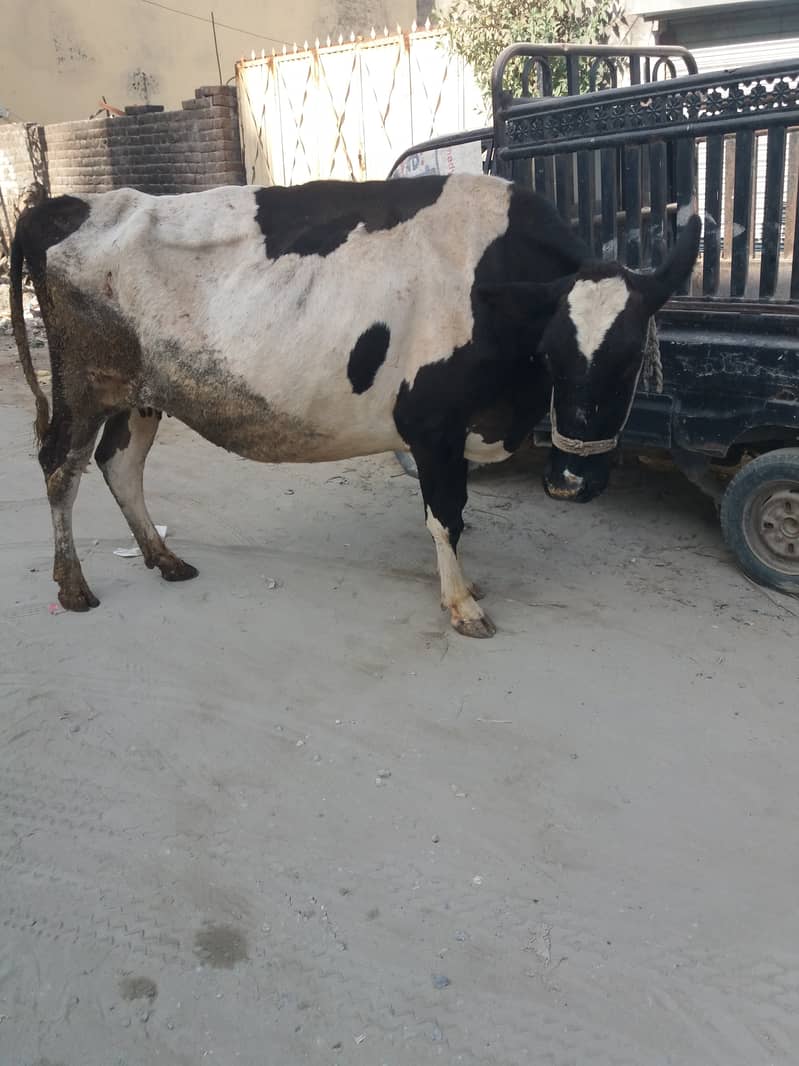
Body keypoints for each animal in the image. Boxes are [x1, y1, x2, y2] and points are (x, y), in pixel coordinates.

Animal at [10, 175, 700, 637]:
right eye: (553, 355)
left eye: (629, 359)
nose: (570, 482)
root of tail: (69, 204)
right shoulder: (432, 425)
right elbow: (446, 515)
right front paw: (462, 603)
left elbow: (451, 514)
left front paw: (462, 584)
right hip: (82, 386)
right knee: (59, 468)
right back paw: (73, 585)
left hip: (141, 392)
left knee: (120, 465)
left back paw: (164, 559)